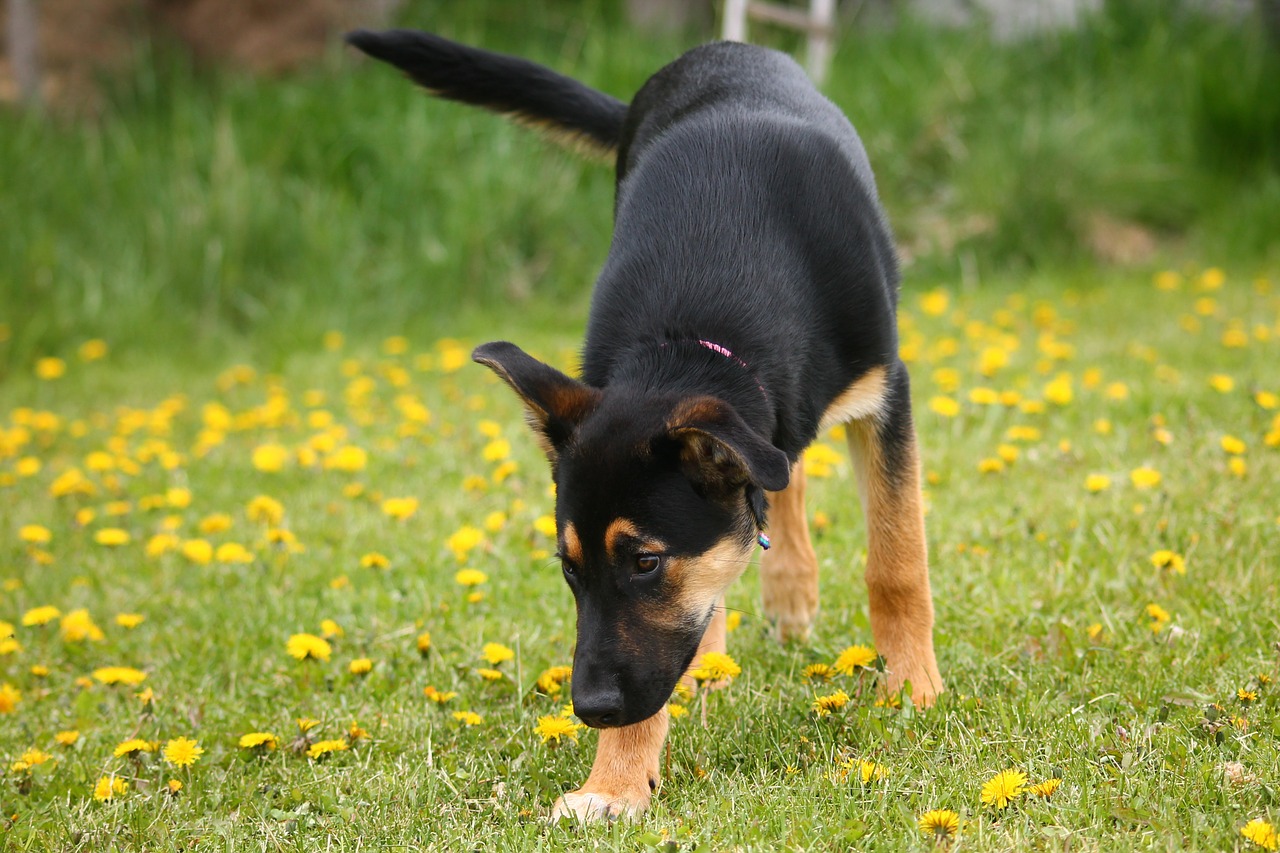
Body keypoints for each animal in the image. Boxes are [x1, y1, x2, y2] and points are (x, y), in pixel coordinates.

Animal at [345, 29, 947, 819]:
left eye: (645, 562)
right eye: (569, 568)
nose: (591, 709)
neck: (695, 336)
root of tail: (714, 51)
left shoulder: (885, 394)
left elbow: (896, 563)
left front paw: (912, 689)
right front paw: (616, 781)